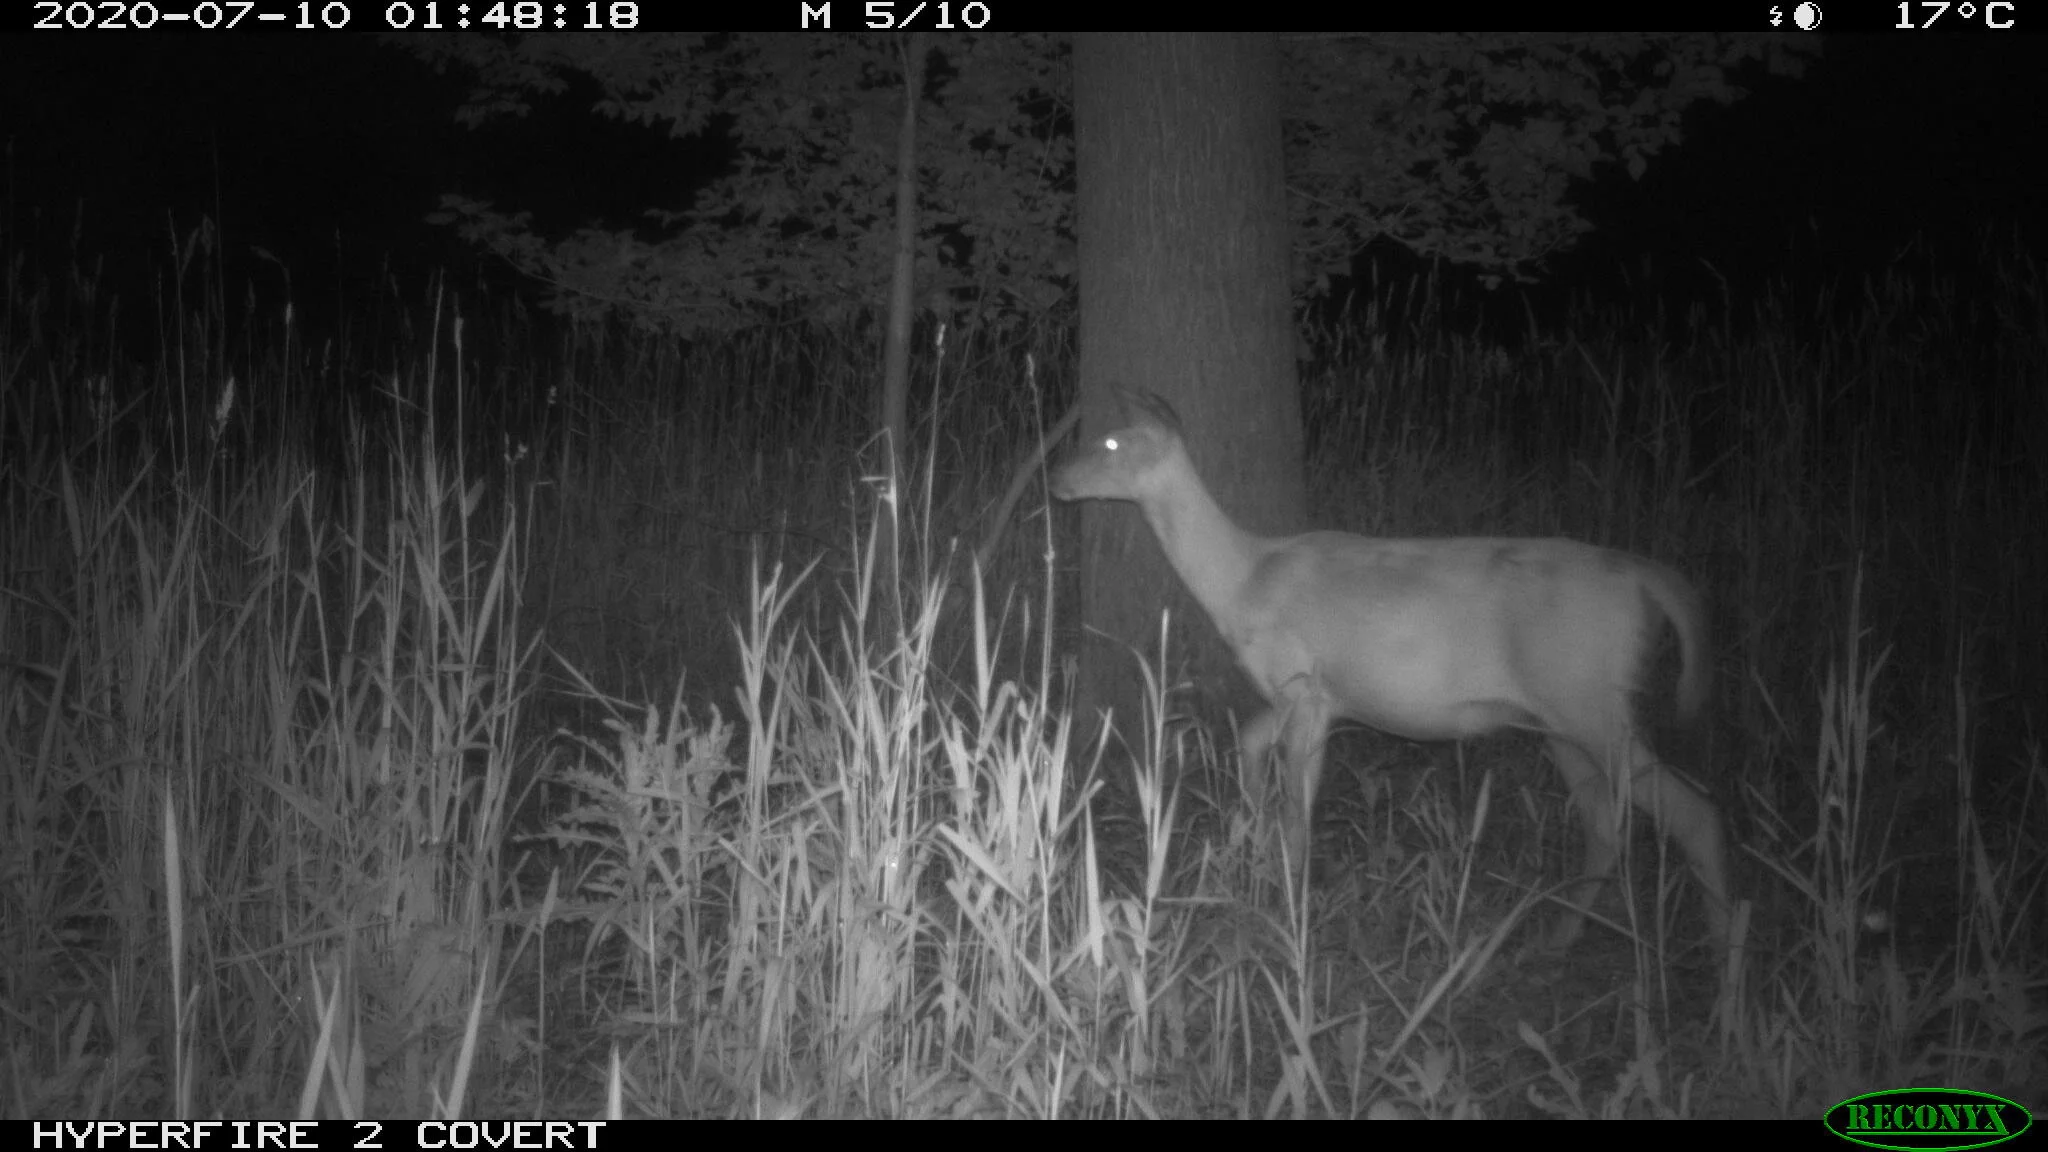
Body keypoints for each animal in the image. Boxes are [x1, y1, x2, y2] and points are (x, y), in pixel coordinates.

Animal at [1050, 388, 1731, 955]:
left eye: (1111, 443)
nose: (1057, 481)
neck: (1243, 581)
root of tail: (1641, 574)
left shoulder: (1305, 686)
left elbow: (1298, 813)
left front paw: (1288, 912)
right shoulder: (1309, 695)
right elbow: (1249, 742)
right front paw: (1250, 836)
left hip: (1591, 697)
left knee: (1697, 817)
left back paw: (1724, 990)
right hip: (1559, 719)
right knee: (1604, 825)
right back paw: (1555, 941)